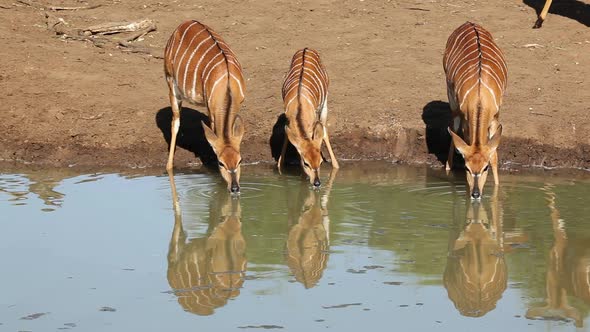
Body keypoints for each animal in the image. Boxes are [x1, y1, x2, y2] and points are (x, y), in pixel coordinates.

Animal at [163, 20, 246, 192]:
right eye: (221, 163)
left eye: (240, 160)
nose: (235, 188)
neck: (227, 86)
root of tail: (182, 25)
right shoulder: (211, 111)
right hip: (171, 84)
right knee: (175, 121)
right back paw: (169, 166)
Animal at [278, 48, 340, 188]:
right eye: (306, 163)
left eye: (320, 162)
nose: (317, 183)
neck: (299, 107)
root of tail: (306, 49)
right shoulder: (289, 123)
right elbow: (287, 138)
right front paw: (280, 164)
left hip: (324, 103)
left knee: (324, 130)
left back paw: (336, 165)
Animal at [446, 22, 512, 198]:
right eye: (467, 168)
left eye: (485, 168)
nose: (475, 194)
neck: (480, 97)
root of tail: (469, 23)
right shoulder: (466, 116)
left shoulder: (496, 117)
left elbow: (494, 155)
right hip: (451, 96)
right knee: (454, 129)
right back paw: (447, 167)